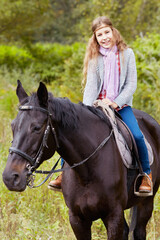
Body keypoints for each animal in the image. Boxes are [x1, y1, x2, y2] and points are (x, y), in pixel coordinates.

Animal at [2, 81, 160, 240]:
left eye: (36, 127)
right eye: (13, 126)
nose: (10, 177)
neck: (88, 171)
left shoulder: (114, 216)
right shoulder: (77, 219)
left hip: (146, 202)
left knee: (139, 231)